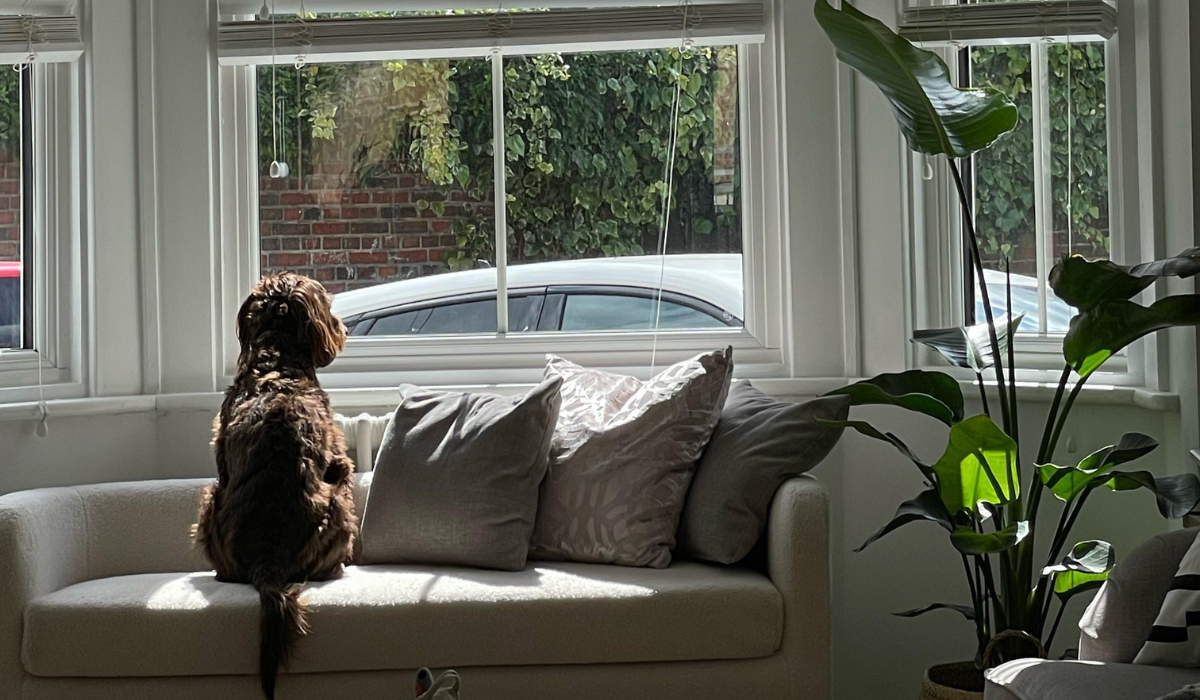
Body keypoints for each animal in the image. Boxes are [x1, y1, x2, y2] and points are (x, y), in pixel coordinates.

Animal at [193, 273, 355, 700]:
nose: (343, 326)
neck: (277, 363)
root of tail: (268, 560)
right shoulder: (340, 461)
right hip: (337, 503)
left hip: (211, 495)